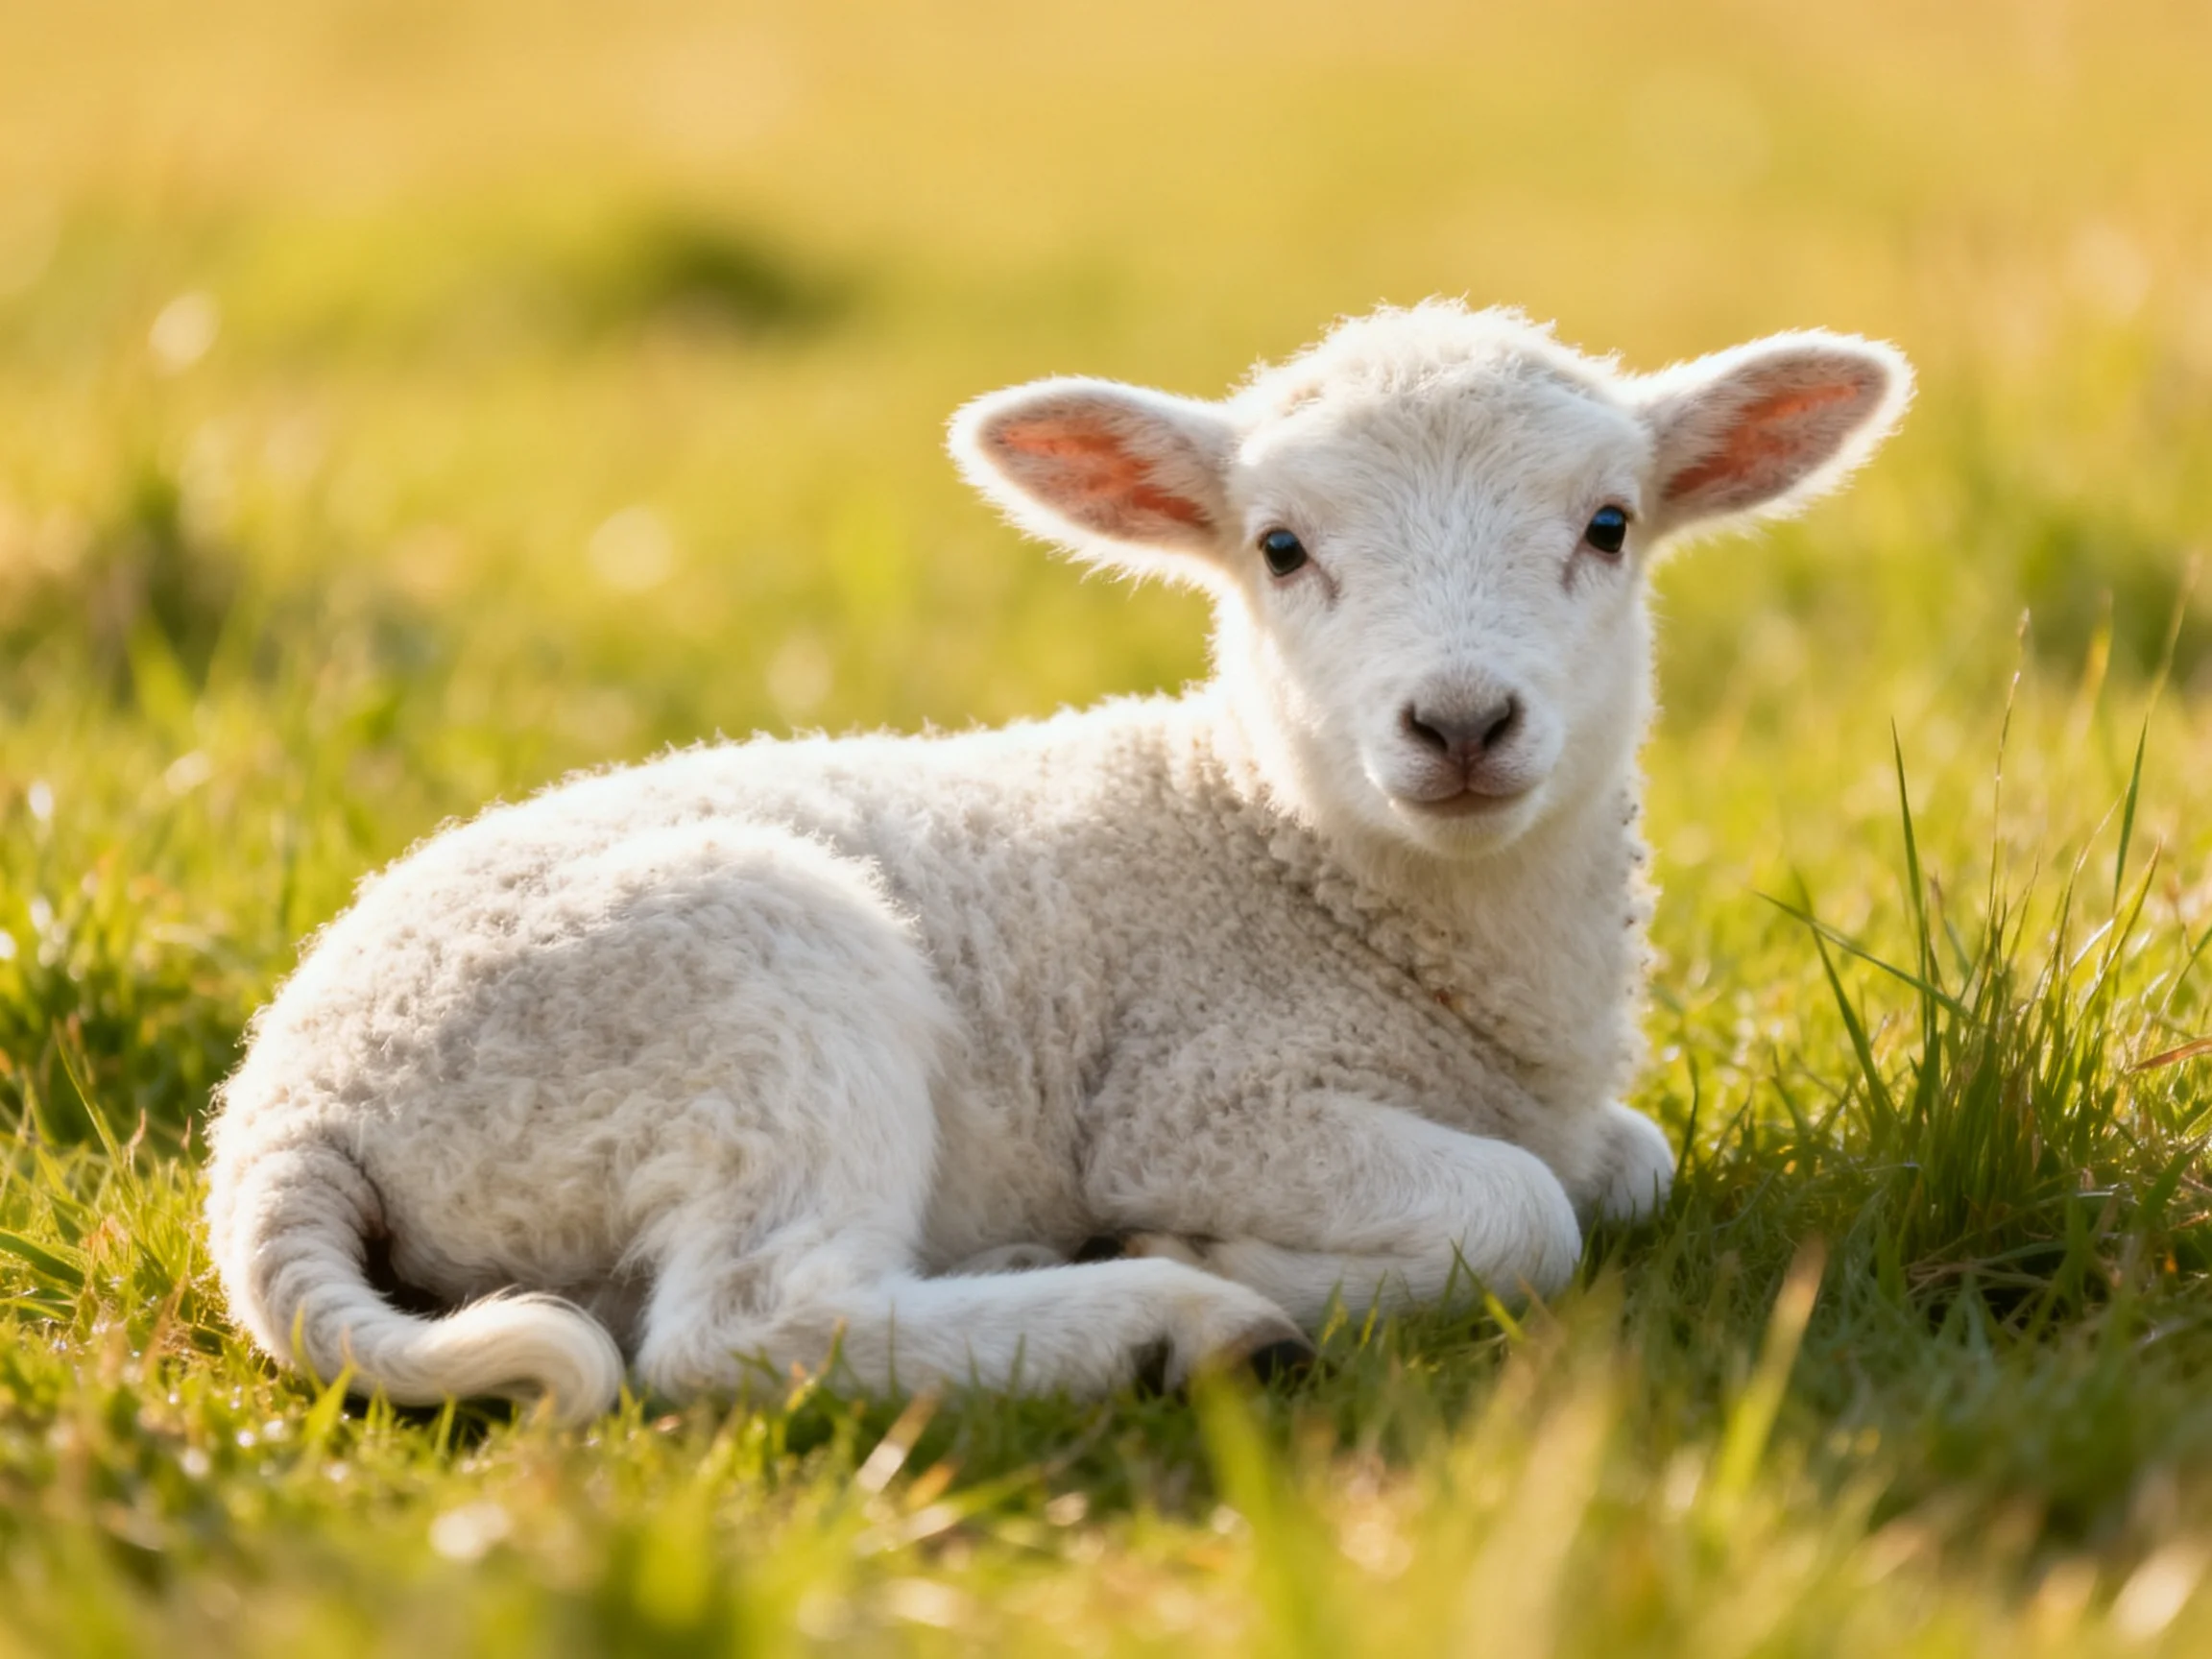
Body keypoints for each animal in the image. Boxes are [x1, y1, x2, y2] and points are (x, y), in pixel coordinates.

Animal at [203, 300, 1912, 1424]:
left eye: (1610, 525)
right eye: (1281, 549)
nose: (1462, 721)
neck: (1276, 844)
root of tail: (287, 1108)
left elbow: (1627, 1165)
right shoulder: (1203, 1095)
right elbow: (1525, 1218)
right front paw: (1230, 1256)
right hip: (749, 992)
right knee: (739, 1334)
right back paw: (1182, 1321)